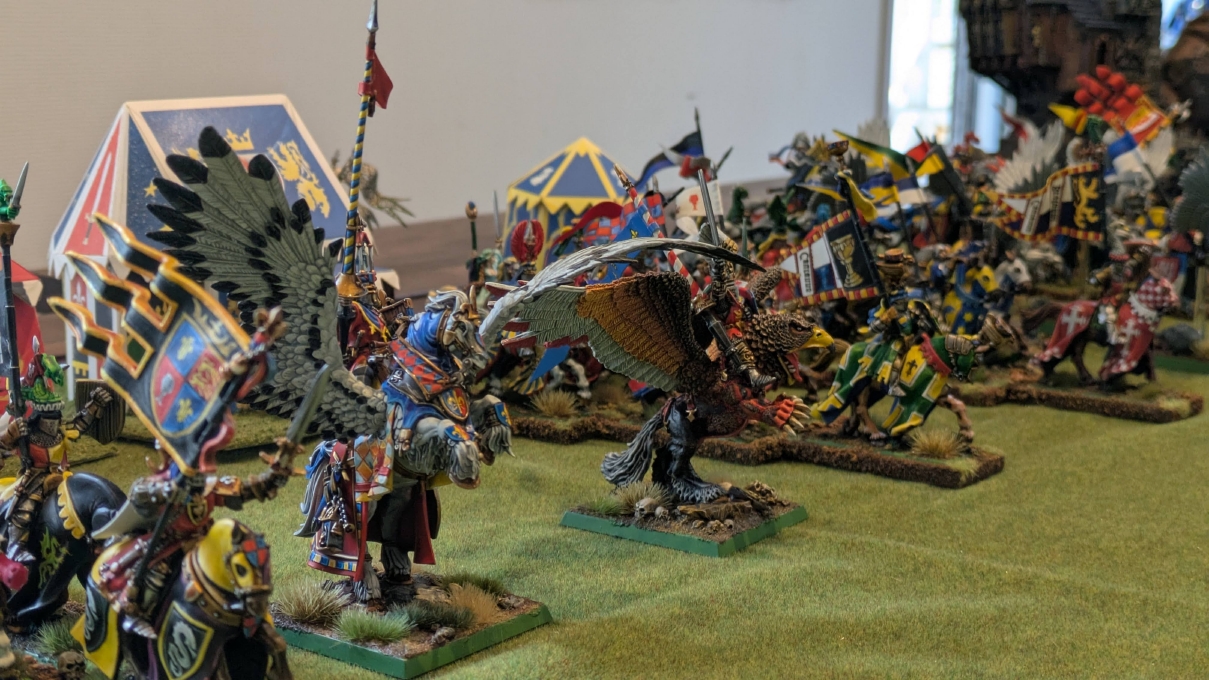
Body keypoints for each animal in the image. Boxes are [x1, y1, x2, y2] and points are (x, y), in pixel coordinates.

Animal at [75, 518, 290, 680]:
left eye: (268, 562)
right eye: (241, 568)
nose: (258, 605)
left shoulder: (241, 627)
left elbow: (277, 641)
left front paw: (278, 673)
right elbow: (219, 672)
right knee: (128, 647)